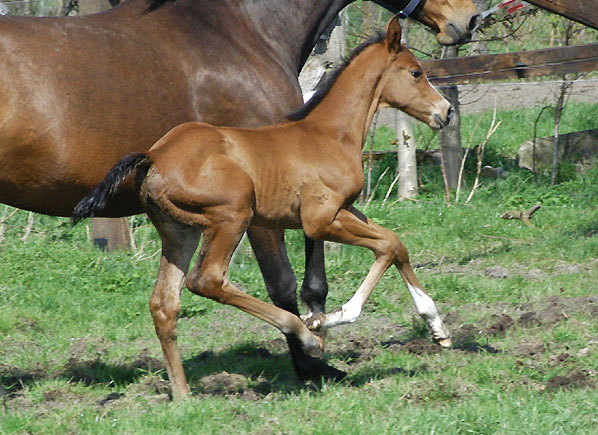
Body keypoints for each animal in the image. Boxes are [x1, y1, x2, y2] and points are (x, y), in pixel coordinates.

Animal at [0, 0, 480, 380]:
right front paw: (323, 335)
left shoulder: (345, 212)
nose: (446, 112)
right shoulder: (317, 219)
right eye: (416, 72)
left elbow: (393, 245)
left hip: (180, 231)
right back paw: (300, 335)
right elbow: (314, 275)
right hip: (233, 216)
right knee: (208, 280)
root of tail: (153, 157)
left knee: (166, 301)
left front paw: (437, 328)